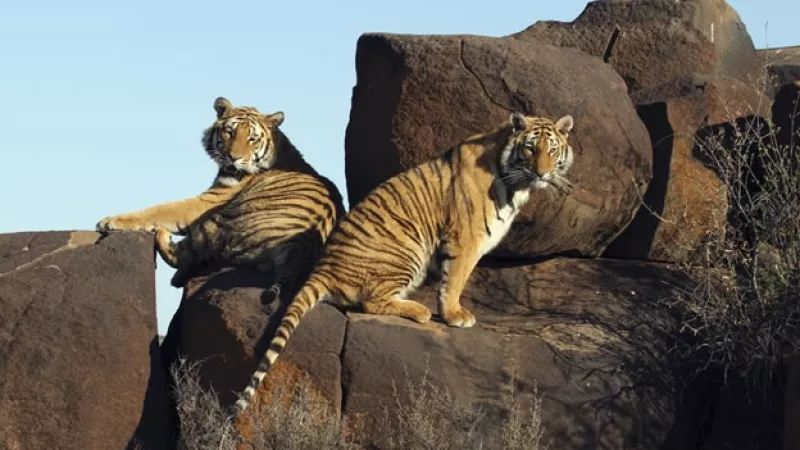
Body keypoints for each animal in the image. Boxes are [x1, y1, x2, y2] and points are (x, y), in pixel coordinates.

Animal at [96, 96, 345, 289]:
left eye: (252, 138)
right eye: (229, 132)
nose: (234, 158)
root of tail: (298, 249)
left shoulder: (207, 201)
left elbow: (161, 210)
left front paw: (110, 221)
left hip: (222, 219)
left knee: (187, 251)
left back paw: (163, 239)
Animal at [232, 111, 575, 416]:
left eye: (551, 150)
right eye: (530, 148)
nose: (542, 173)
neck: (516, 184)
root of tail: (322, 267)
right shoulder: (465, 237)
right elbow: (455, 280)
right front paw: (455, 315)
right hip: (408, 249)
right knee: (371, 301)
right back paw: (419, 310)